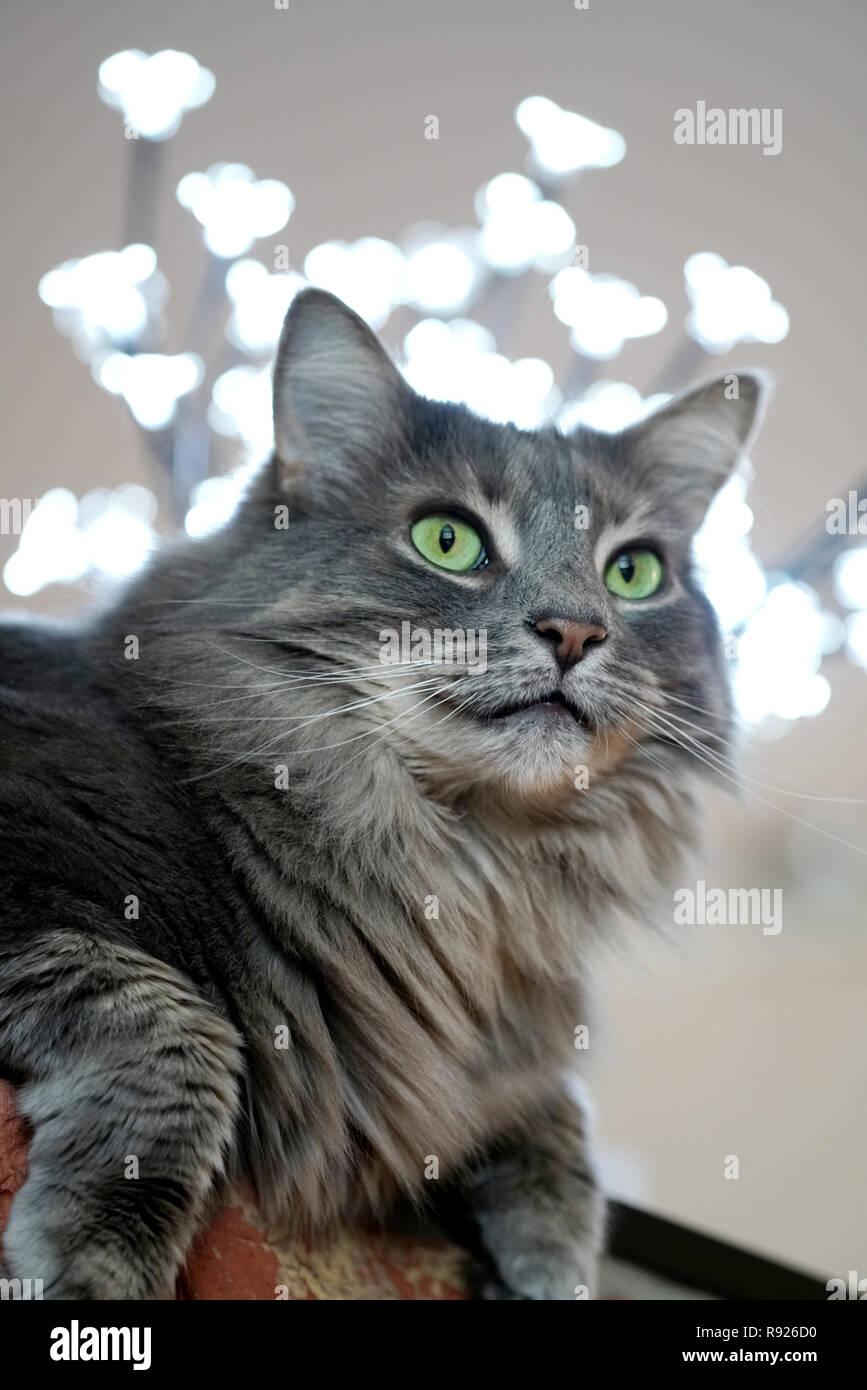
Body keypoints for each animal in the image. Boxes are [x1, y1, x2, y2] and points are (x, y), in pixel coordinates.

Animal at [0, 287, 766, 1295]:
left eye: (633, 572)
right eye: (448, 541)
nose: (575, 631)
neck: (465, 868)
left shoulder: (501, 1067)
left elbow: (564, 1143)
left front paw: (541, 1273)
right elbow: (180, 1032)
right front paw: (92, 1273)